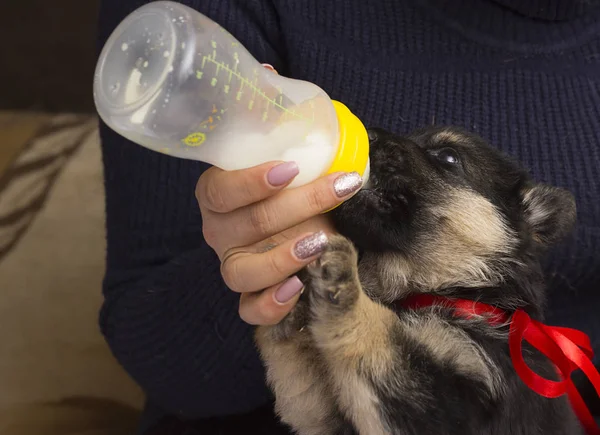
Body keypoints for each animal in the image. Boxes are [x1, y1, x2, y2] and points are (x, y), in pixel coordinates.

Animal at [254, 126, 580, 435]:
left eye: (448, 156)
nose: (369, 133)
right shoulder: (320, 416)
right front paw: (290, 292)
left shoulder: (447, 402)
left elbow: (383, 331)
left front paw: (345, 281)